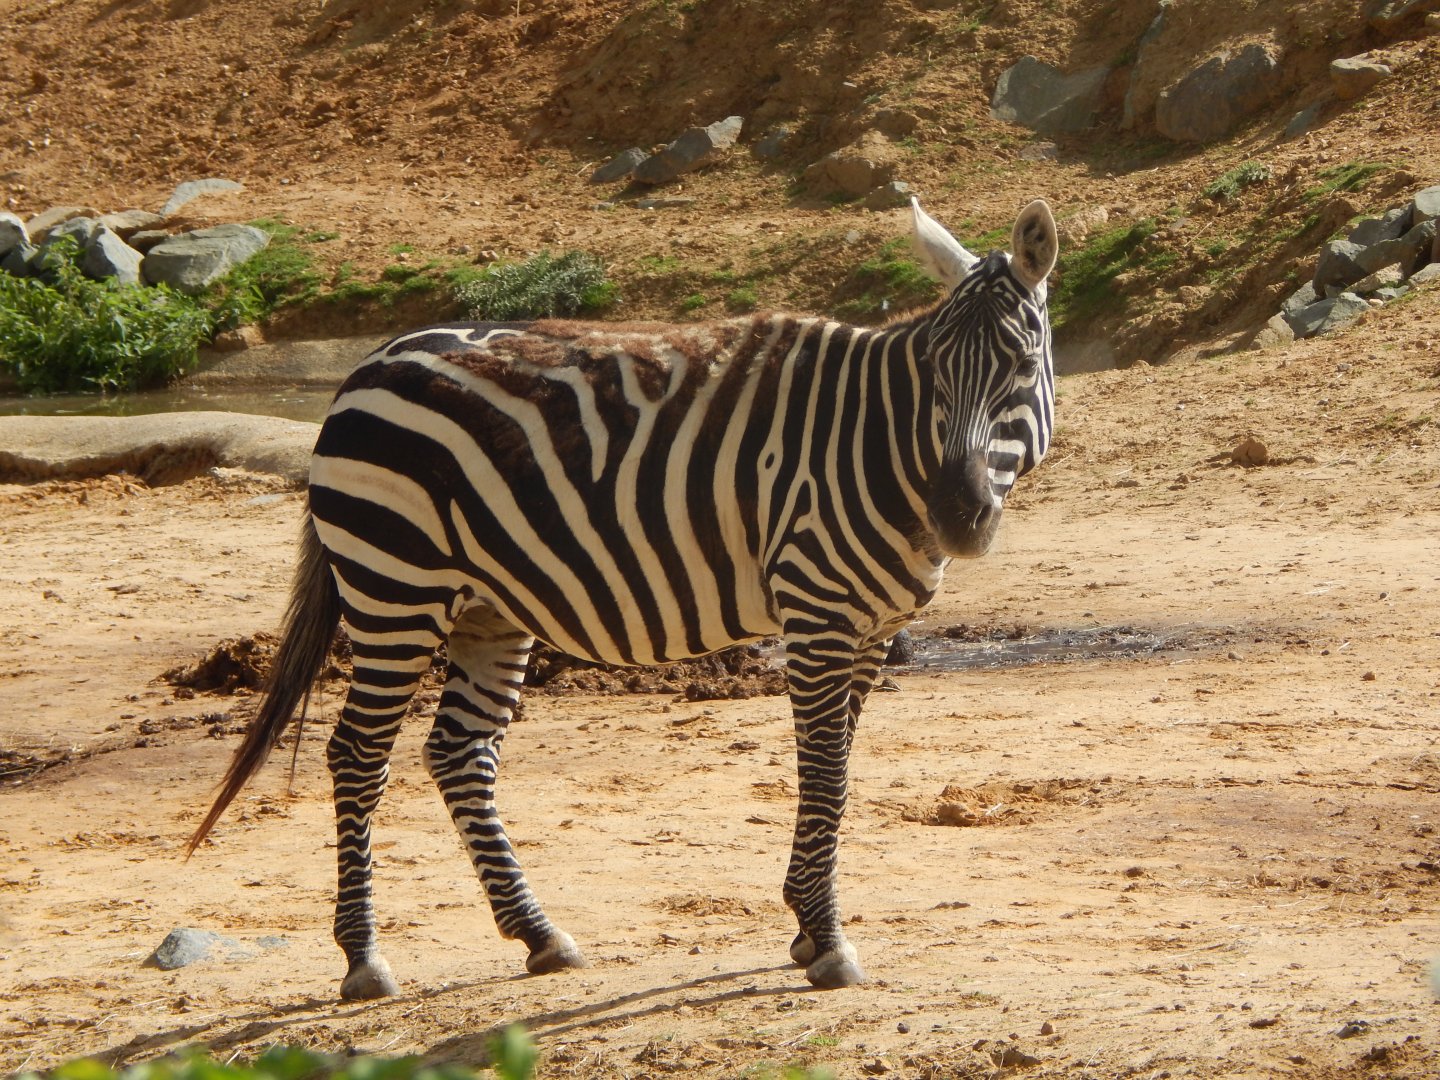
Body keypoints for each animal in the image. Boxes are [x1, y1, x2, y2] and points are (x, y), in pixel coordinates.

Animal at [188, 197, 1060, 999]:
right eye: (935, 370)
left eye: (1022, 365)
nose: (957, 514)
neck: (882, 443)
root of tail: (369, 361)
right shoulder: (818, 610)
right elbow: (824, 775)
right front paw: (828, 939)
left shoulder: (873, 628)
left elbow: (835, 768)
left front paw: (808, 927)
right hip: (396, 587)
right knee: (359, 754)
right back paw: (365, 957)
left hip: (487, 607)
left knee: (458, 750)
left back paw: (538, 934)